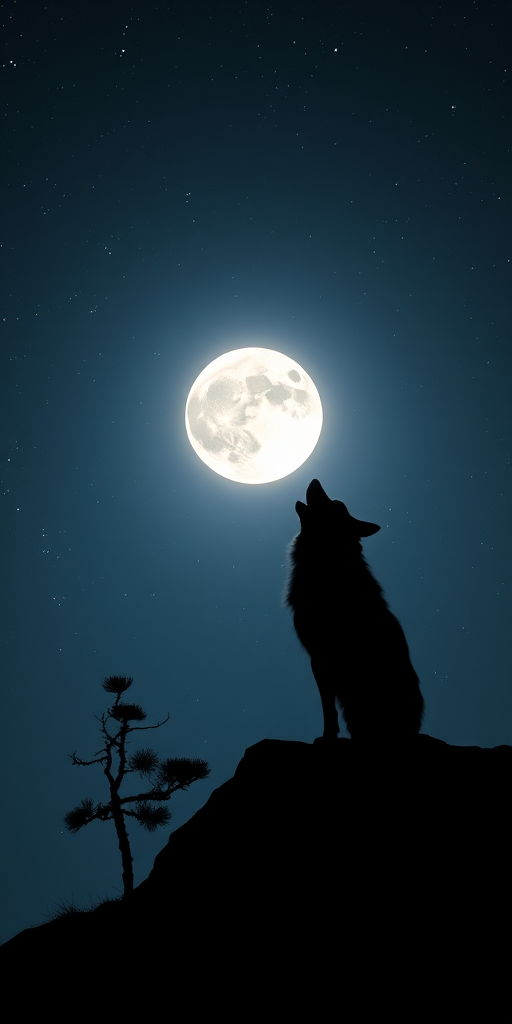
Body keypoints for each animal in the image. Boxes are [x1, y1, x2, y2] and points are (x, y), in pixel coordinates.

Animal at [285, 479, 424, 740]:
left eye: (335, 504)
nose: (315, 480)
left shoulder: (320, 658)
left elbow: (328, 709)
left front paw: (327, 737)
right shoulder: (319, 659)